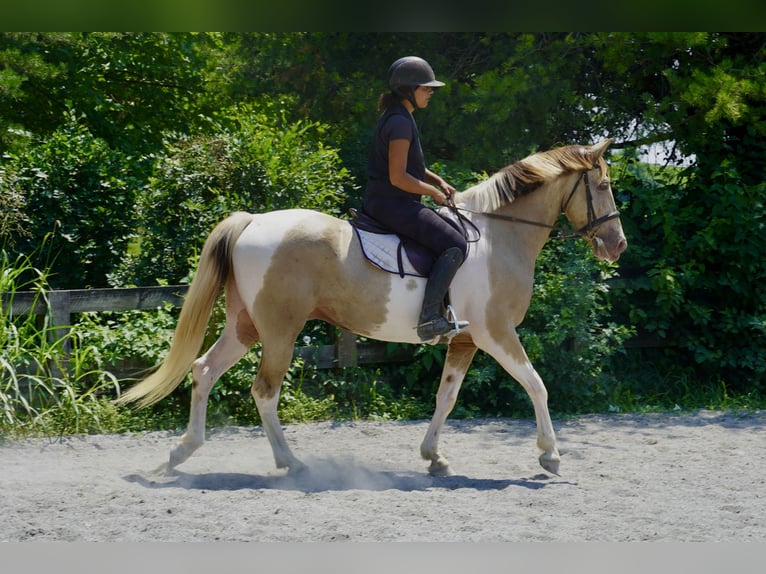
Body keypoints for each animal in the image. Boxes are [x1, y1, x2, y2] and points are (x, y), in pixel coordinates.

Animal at [116, 138, 627, 477]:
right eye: (602, 184)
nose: (617, 245)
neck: (500, 235)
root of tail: (253, 221)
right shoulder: (495, 333)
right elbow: (537, 385)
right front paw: (550, 454)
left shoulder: (464, 339)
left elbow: (446, 397)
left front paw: (434, 457)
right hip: (280, 331)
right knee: (264, 391)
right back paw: (290, 462)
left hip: (246, 326)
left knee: (204, 371)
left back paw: (182, 453)